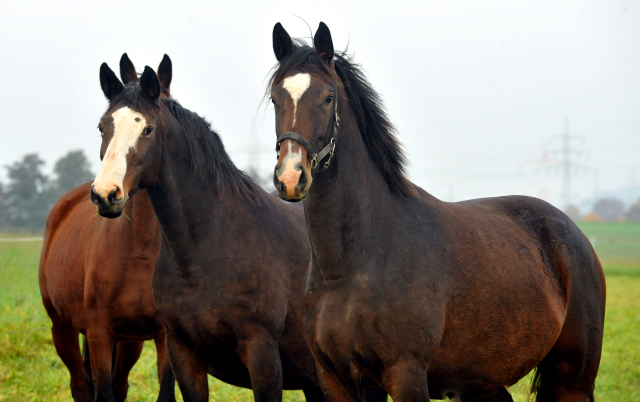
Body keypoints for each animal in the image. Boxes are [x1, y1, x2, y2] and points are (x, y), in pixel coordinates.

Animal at [38, 181, 174, 400]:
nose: (105, 197)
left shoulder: (164, 334)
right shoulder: (98, 333)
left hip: (130, 339)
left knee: (119, 384)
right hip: (61, 328)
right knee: (80, 386)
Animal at [90, 54, 388, 402]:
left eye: (148, 129)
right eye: (102, 126)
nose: (106, 194)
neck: (207, 245)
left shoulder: (261, 355)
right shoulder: (184, 356)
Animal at [268, 22, 604, 402]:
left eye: (327, 97)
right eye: (275, 98)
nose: (291, 177)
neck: (352, 268)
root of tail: (574, 235)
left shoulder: (406, 373)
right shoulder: (335, 379)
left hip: (572, 380)